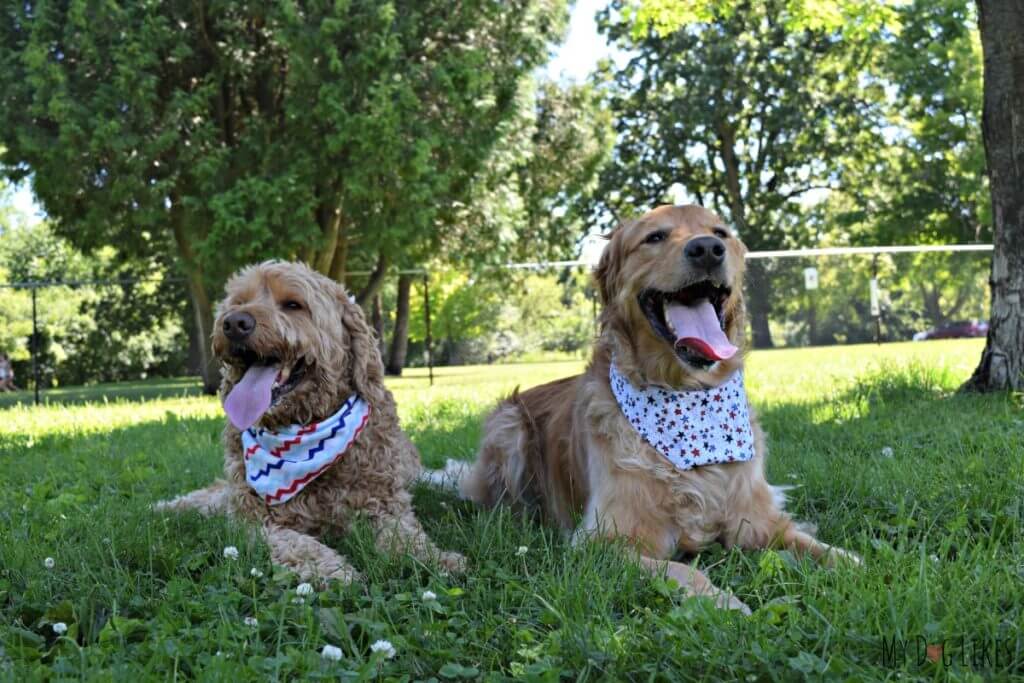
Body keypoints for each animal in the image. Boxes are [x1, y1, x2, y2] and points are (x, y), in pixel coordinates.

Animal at [156, 262, 464, 581]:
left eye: (293, 304)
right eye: (239, 302)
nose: (233, 323)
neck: (304, 428)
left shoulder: (385, 504)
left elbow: (403, 535)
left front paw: (436, 558)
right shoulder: (255, 519)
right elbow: (298, 545)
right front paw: (335, 571)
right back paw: (168, 507)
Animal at [432, 204, 856, 614]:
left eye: (720, 233)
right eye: (655, 237)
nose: (707, 249)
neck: (687, 400)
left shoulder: (754, 520)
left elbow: (810, 544)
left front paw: (854, 564)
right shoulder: (605, 540)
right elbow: (684, 570)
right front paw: (723, 602)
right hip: (509, 426)